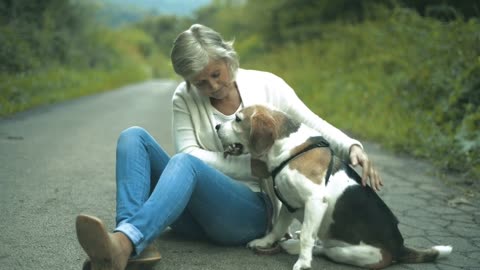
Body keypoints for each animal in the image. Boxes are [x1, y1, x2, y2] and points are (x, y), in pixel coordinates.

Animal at [216, 105, 452, 270]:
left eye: (238, 119)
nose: (217, 127)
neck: (290, 150)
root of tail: (399, 247)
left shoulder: (314, 200)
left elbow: (307, 236)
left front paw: (303, 262)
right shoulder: (289, 203)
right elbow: (277, 229)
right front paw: (265, 242)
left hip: (353, 254)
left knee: (324, 249)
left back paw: (296, 248)